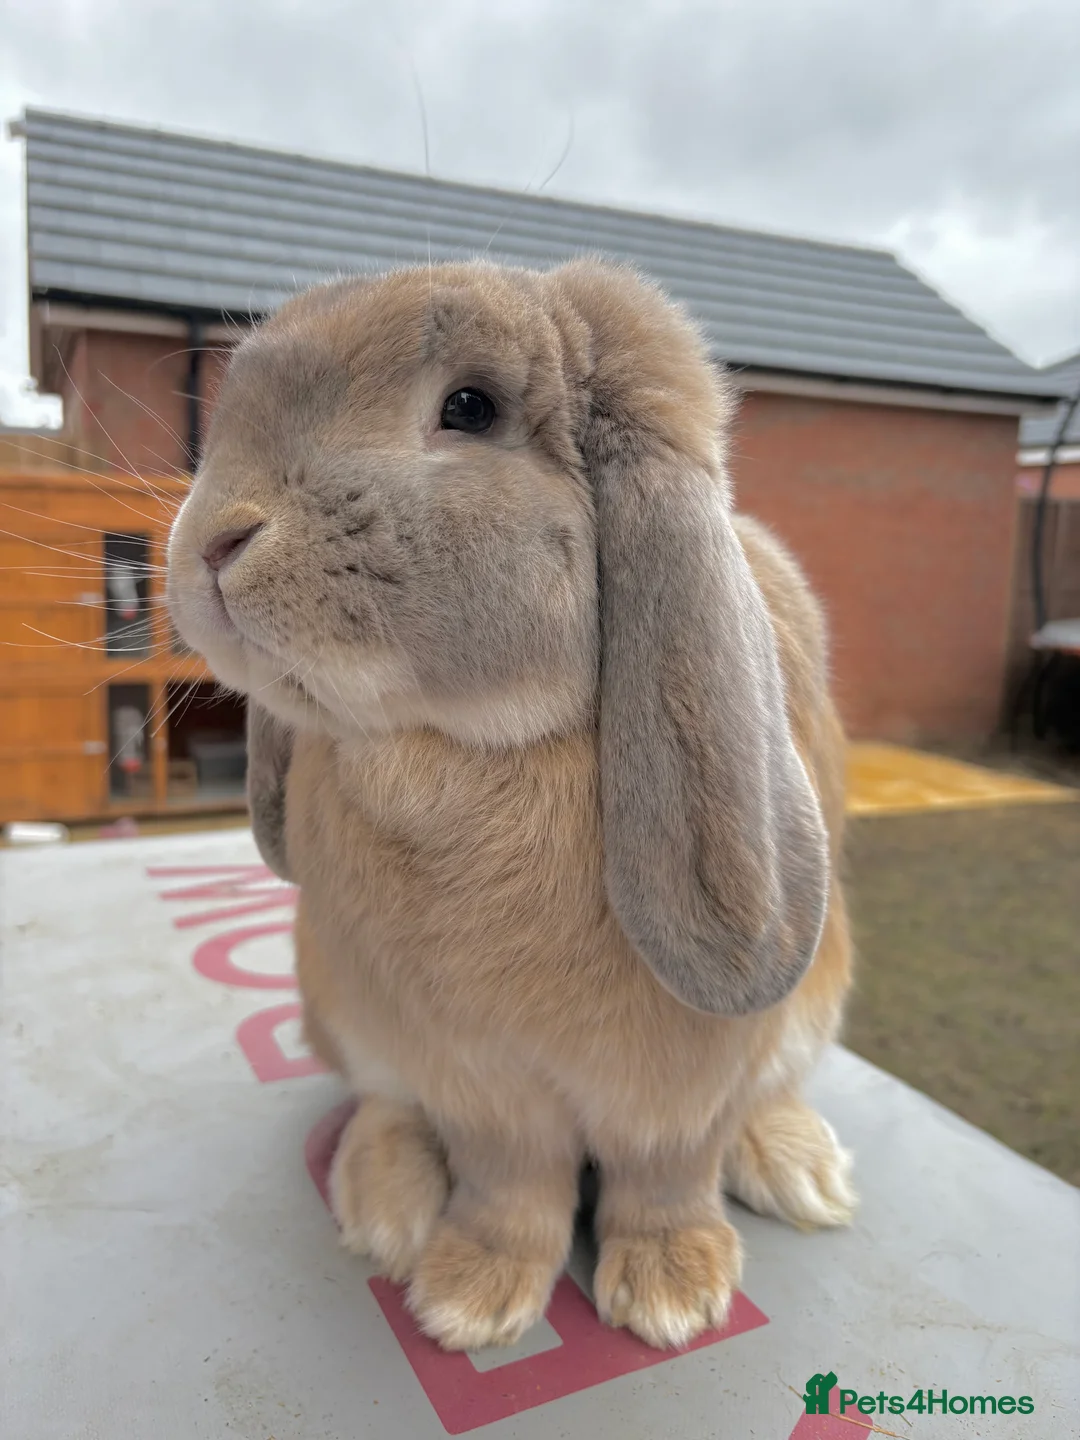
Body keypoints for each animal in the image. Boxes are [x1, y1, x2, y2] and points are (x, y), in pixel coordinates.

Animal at [167, 258, 856, 1353]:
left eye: (469, 408)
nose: (214, 537)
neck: (465, 748)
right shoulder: (477, 1078)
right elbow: (510, 1184)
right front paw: (469, 1299)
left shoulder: (682, 1087)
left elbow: (666, 1177)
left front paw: (672, 1294)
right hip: (340, 1003)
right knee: (382, 1103)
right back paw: (385, 1206)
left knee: (769, 1098)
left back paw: (800, 1168)